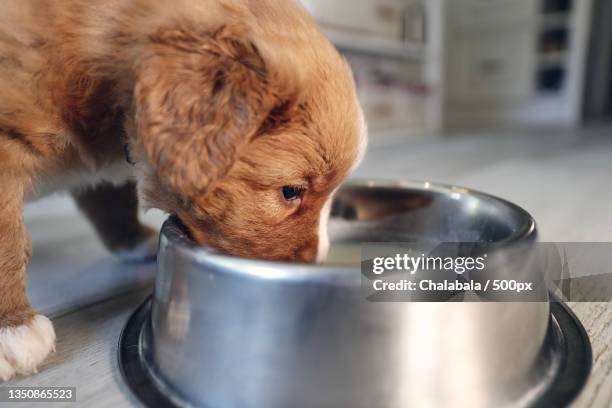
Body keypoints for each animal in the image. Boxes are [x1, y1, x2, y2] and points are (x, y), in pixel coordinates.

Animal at [0, 0, 364, 380]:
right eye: (291, 190)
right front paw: (14, 328)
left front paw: (132, 238)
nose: (317, 262)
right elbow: (8, 236)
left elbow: (109, 198)